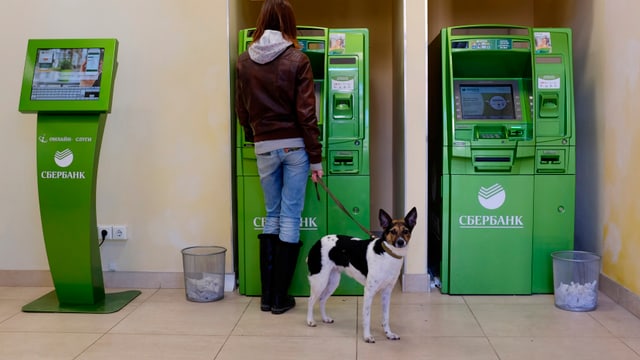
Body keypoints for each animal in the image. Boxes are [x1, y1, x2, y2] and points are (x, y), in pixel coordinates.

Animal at [306, 207, 418, 342]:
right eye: (393, 231)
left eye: (406, 231)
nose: (400, 242)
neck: (387, 255)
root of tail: (317, 243)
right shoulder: (369, 291)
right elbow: (367, 317)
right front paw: (367, 336)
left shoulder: (387, 292)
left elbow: (386, 317)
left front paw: (389, 334)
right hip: (320, 281)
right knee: (311, 300)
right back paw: (310, 320)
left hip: (332, 282)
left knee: (322, 299)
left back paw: (325, 318)